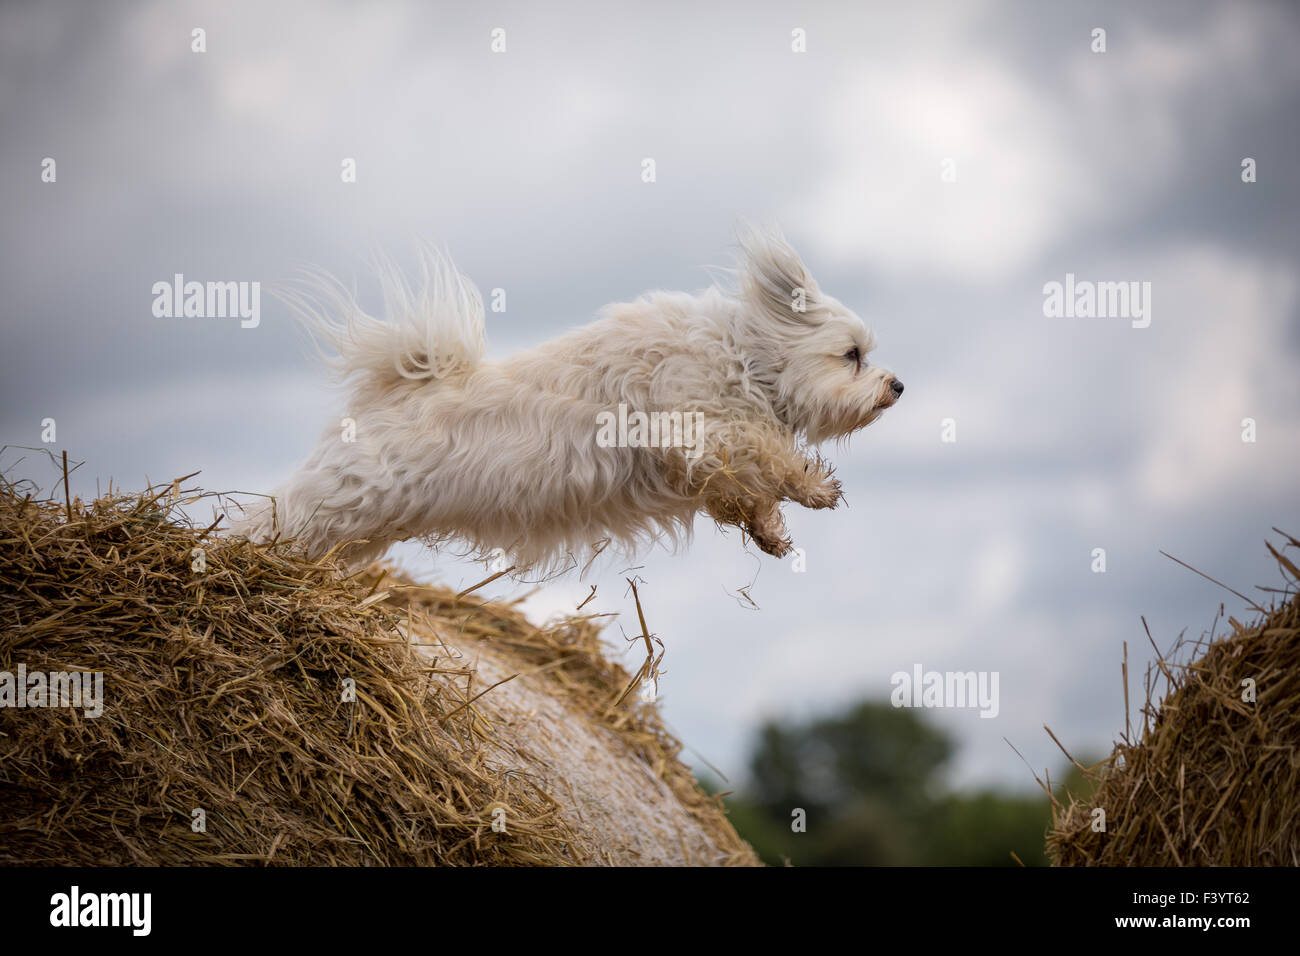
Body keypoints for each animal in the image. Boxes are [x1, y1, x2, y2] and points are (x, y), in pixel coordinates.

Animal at [233, 227, 899, 572]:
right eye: (852, 355)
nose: (896, 385)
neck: (744, 356)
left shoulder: (706, 462)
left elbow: (745, 492)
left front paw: (770, 533)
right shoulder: (693, 427)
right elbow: (765, 455)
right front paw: (815, 487)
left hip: (362, 530)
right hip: (339, 501)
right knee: (270, 520)